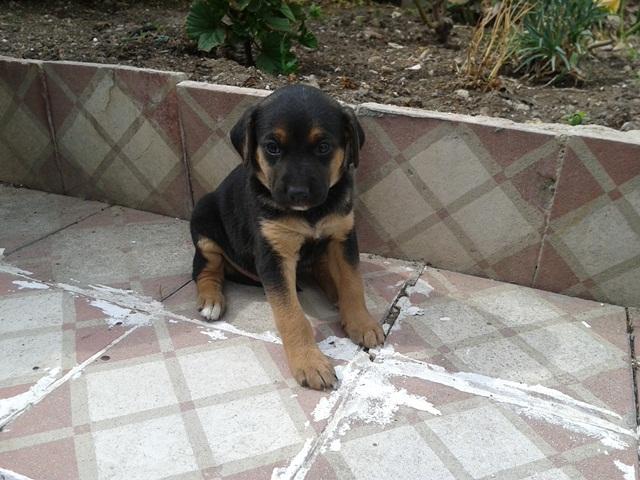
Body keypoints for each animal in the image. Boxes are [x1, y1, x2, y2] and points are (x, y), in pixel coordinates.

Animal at [189, 84, 384, 390]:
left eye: (323, 147)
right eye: (272, 147)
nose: (298, 193)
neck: (311, 213)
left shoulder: (343, 236)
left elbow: (353, 284)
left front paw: (362, 323)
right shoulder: (274, 254)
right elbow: (291, 315)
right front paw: (310, 362)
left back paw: (334, 291)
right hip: (204, 222)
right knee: (205, 269)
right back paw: (211, 300)